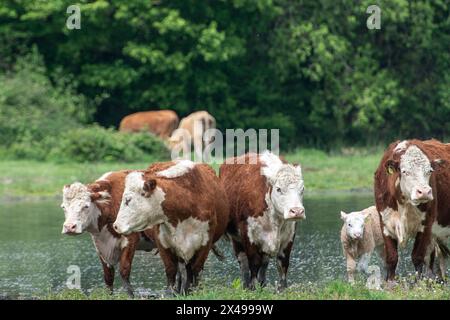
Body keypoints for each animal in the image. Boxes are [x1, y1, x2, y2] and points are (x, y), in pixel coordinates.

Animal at [61, 170, 156, 298]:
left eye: (86, 206)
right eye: (63, 207)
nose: (69, 227)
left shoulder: (131, 239)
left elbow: (124, 271)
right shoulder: (100, 246)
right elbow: (108, 276)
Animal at [112, 160, 229, 296]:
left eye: (128, 200)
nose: (116, 225)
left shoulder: (206, 242)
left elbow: (196, 269)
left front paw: (194, 291)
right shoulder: (163, 243)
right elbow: (171, 269)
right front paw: (170, 292)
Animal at [219, 152, 306, 290]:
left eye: (302, 189)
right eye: (278, 189)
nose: (297, 211)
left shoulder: (289, 236)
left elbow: (282, 263)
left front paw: (283, 287)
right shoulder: (248, 234)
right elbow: (254, 263)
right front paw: (253, 287)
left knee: (264, 261)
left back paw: (263, 283)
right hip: (236, 239)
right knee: (243, 262)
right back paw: (246, 285)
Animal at [372, 139, 450, 284]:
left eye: (429, 171)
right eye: (404, 171)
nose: (424, 192)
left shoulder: (426, 226)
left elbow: (417, 257)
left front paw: (419, 284)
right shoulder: (385, 223)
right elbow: (392, 257)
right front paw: (390, 283)